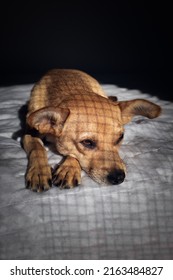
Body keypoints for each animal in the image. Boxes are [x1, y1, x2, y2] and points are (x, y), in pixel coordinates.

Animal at [22, 70, 162, 192]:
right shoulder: (29, 134)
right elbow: (37, 148)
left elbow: (73, 154)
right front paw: (39, 172)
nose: (119, 178)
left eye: (120, 137)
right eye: (87, 142)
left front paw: (68, 169)